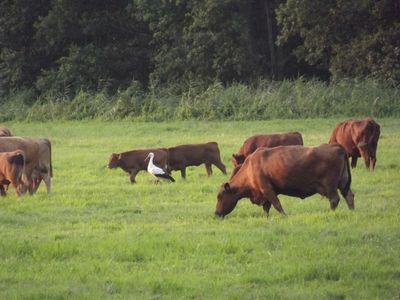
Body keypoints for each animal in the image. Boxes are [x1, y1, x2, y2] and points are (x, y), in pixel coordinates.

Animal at [216, 144, 354, 217]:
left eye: (220, 196)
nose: (216, 213)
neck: (250, 167)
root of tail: (336, 147)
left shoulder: (267, 189)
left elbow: (277, 205)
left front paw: (285, 217)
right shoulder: (265, 193)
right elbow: (266, 208)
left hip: (330, 186)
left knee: (334, 199)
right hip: (343, 183)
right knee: (349, 196)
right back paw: (351, 211)